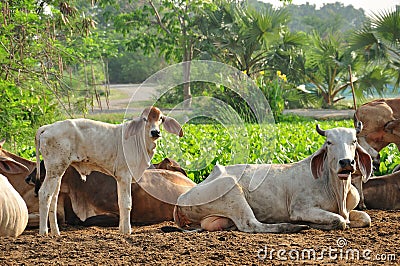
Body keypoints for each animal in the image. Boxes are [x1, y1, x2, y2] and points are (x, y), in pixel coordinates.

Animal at [173, 124, 374, 233]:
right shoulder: (300, 209)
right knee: (251, 225)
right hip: (231, 190)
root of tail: (181, 198)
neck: (336, 190)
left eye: (354, 141)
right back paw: (294, 227)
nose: (346, 162)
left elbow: (365, 218)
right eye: (329, 142)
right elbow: (339, 221)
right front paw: (311, 224)